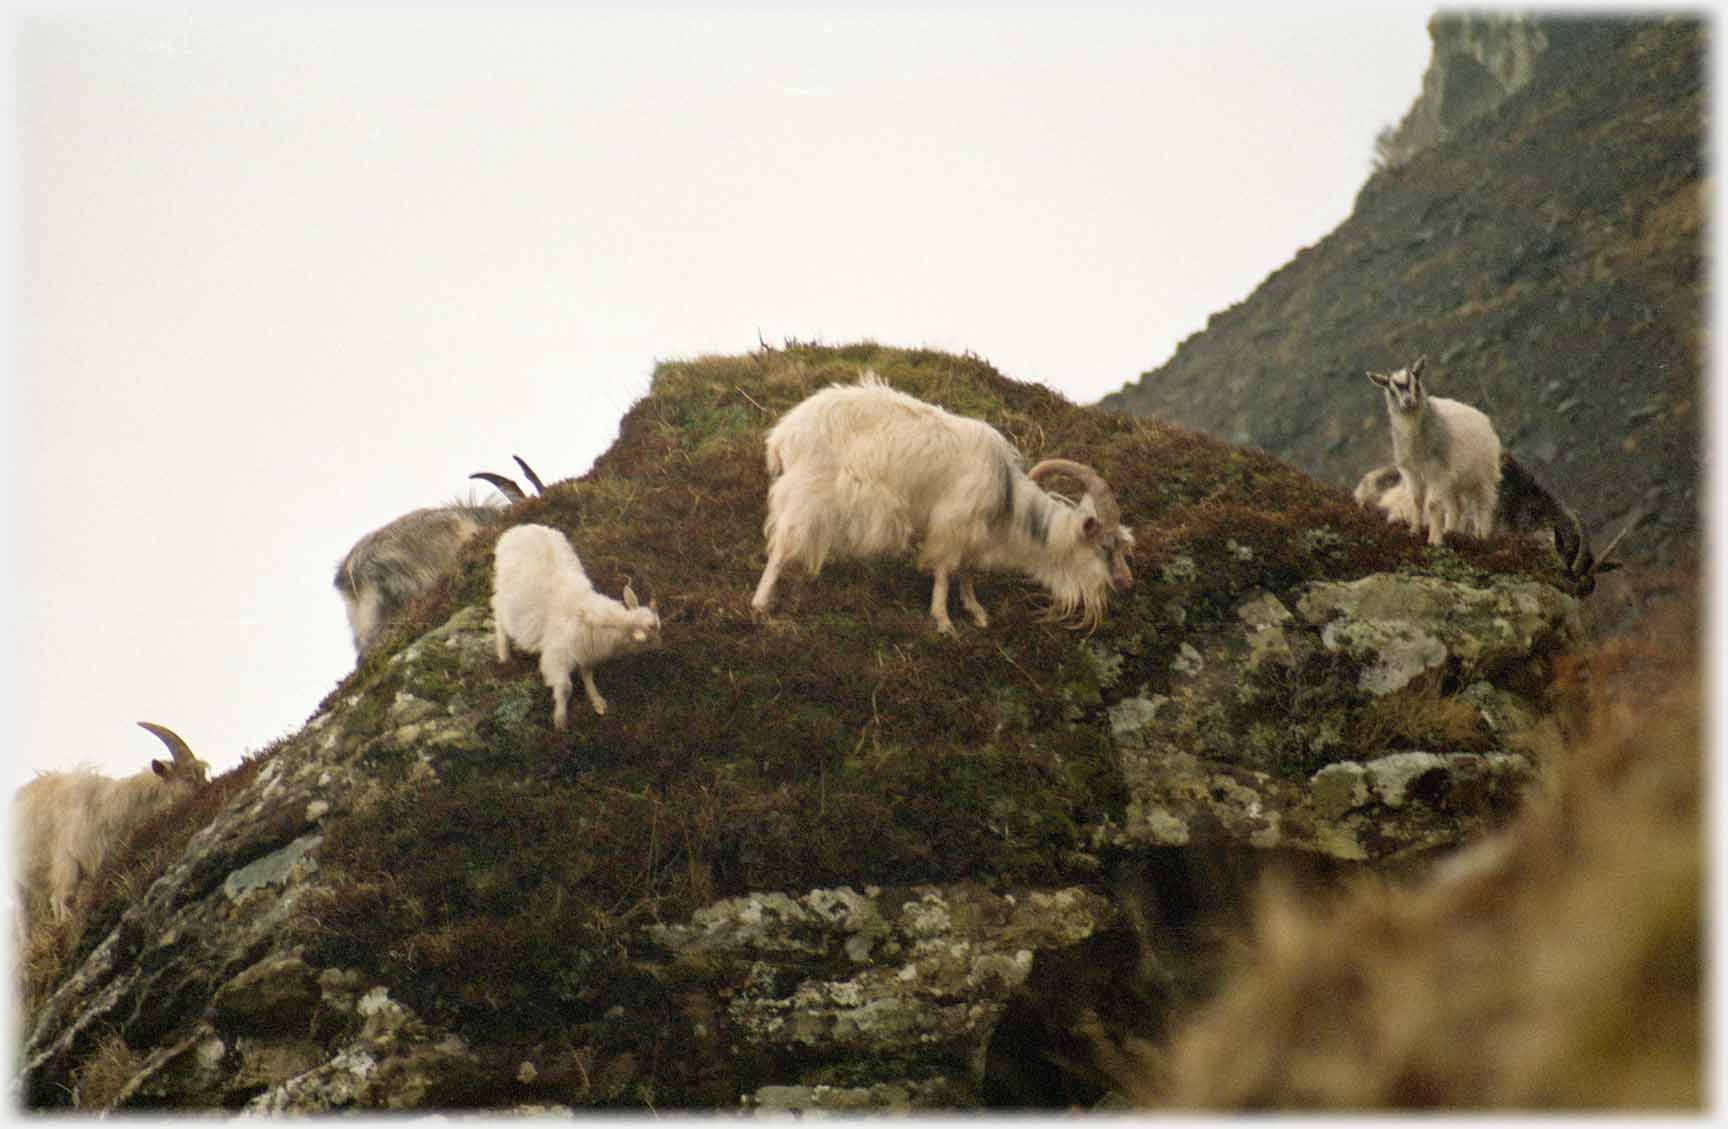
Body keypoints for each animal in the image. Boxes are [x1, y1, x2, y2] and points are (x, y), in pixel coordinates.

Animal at [501, 525, 667, 726]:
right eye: (650, 634)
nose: (661, 645)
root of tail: (521, 528)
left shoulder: (586, 649)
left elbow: (588, 675)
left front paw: (597, 702)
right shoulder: (557, 656)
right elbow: (565, 687)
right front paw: (560, 720)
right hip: (502, 596)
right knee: (498, 621)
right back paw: (503, 655)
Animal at [753, 371, 1133, 629]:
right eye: (1105, 546)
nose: (1126, 583)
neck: (1007, 499)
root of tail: (782, 434)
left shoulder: (972, 530)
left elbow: (967, 570)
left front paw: (977, 613)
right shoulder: (952, 522)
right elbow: (946, 570)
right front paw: (944, 622)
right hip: (805, 491)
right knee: (781, 546)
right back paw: (760, 604)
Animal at [1361, 354, 1499, 542]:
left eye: (1416, 382)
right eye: (1391, 390)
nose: (1408, 401)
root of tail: (1485, 421)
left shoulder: (1437, 471)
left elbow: (1432, 504)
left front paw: (1434, 540)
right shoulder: (1412, 472)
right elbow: (1416, 500)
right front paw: (1414, 531)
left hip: (1482, 475)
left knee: (1483, 504)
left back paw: (1482, 536)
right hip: (1453, 480)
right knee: (1457, 505)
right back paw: (1451, 531)